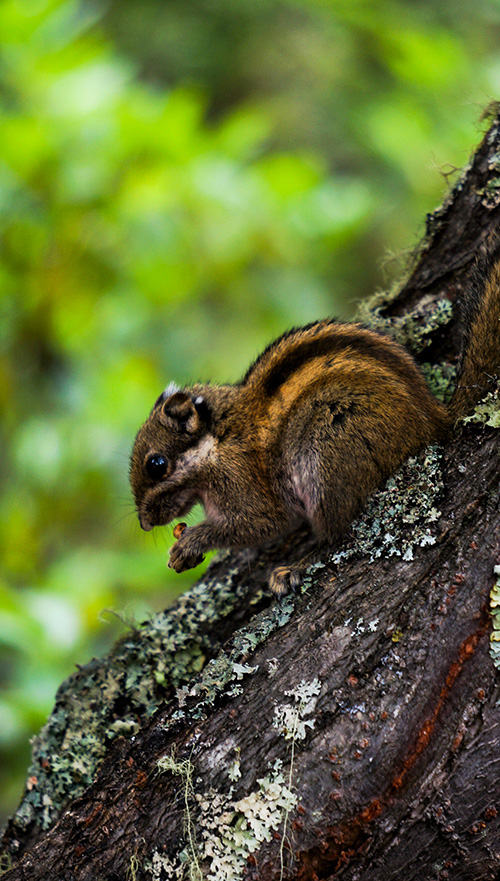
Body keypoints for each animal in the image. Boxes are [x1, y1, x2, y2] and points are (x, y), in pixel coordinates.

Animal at [128, 232, 500, 600]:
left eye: (156, 465)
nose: (145, 524)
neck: (217, 439)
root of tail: (435, 419)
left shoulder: (243, 482)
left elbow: (261, 523)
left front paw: (191, 542)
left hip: (326, 451)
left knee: (338, 536)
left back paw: (297, 566)